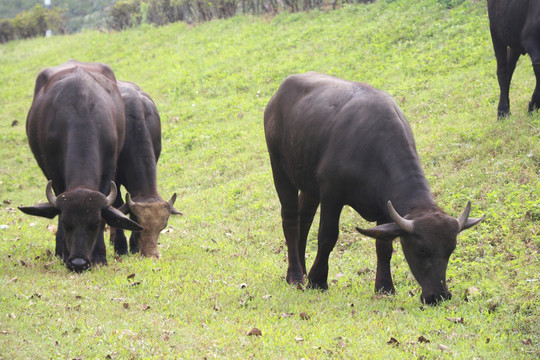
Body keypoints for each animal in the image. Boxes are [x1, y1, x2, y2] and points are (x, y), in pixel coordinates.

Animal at [18, 60, 142, 272]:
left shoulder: (108, 171)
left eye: (95, 223)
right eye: (67, 223)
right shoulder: (54, 174)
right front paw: (63, 251)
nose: (78, 263)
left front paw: (100, 256)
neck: (82, 114)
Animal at [262, 72, 486, 304]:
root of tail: (278, 95)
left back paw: (302, 271)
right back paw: (296, 276)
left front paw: (385, 287)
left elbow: (384, 247)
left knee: (304, 220)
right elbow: (327, 237)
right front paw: (318, 281)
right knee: (290, 220)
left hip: (308, 185)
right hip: (279, 169)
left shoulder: (384, 208)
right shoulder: (332, 195)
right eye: (421, 249)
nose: (439, 295)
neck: (371, 151)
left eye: (451, 249)